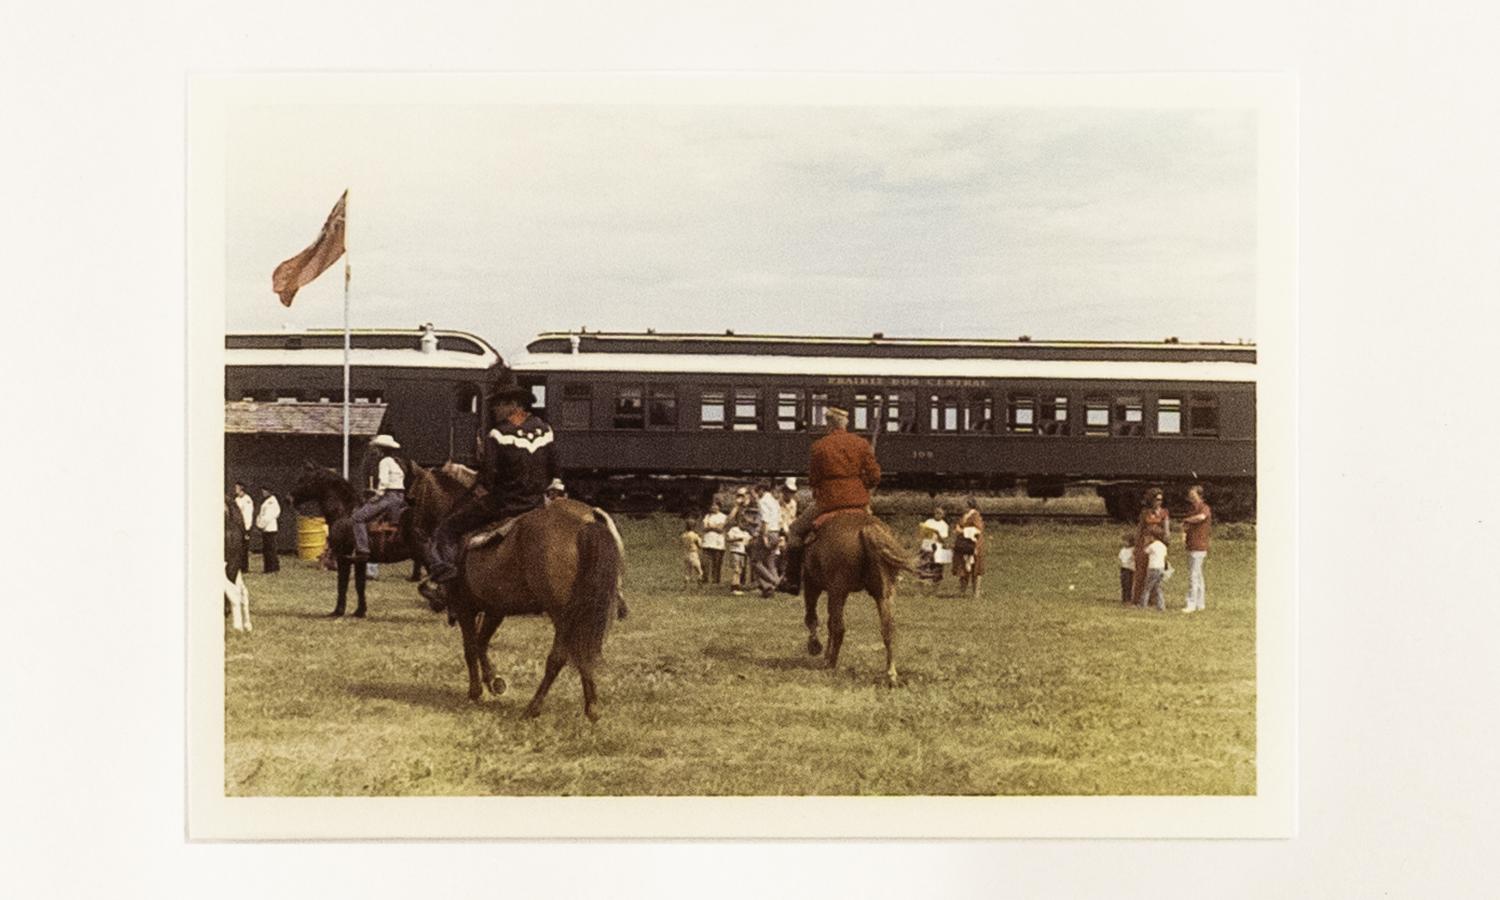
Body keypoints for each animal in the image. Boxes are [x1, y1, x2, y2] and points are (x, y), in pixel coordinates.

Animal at [432, 495, 624, 720]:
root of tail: (586, 521)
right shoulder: (495, 609)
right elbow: (481, 642)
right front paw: (494, 681)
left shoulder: (465, 609)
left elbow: (470, 647)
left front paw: (475, 691)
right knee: (583, 653)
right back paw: (592, 708)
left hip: (561, 615)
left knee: (558, 657)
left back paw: (533, 707)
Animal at [804, 510, 906, 687]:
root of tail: (867, 527)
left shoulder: (816, 586)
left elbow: (815, 619)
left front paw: (816, 647)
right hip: (883, 594)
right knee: (888, 629)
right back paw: (891, 674)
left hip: (837, 591)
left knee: (838, 627)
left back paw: (831, 663)